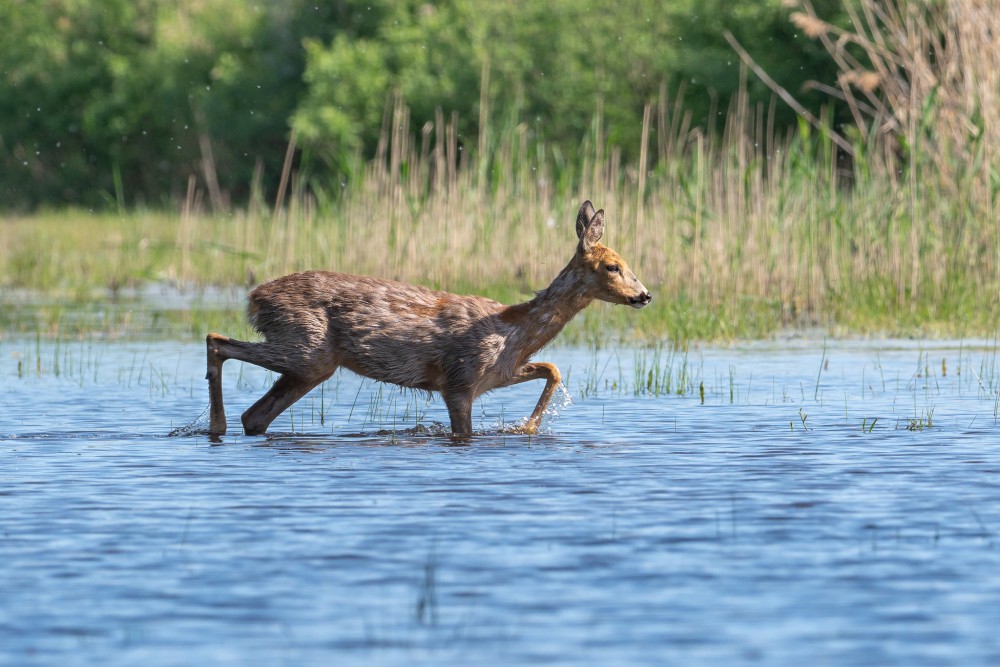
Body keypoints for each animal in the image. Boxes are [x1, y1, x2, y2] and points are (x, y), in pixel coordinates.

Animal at [207, 198, 652, 438]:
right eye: (612, 266)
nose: (644, 295)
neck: (511, 331)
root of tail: (254, 297)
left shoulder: (500, 374)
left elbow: (553, 368)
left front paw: (525, 428)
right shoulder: (459, 379)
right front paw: (526, 428)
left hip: (312, 364)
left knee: (255, 415)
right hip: (305, 346)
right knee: (217, 340)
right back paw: (216, 426)